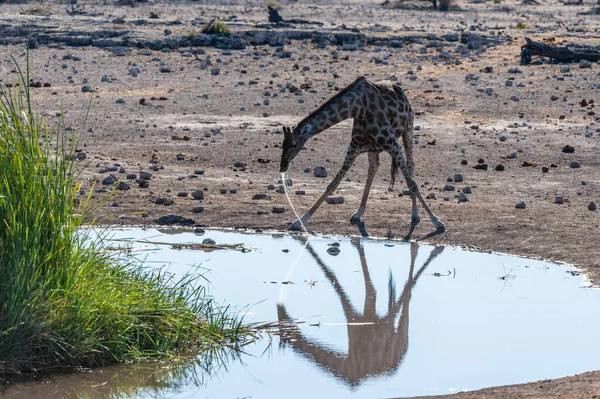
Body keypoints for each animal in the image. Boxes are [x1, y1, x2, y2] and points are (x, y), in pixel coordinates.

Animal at [278, 76, 442, 236]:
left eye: (293, 145)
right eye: (282, 145)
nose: (282, 167)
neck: (357, 108)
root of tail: (401, 92)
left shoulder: (391, 143)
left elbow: (412, 183)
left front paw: (437, 221)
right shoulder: (355, 146)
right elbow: (333, 184)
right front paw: (299, 221)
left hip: (407, 129)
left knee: (410, 163)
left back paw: (415, 214)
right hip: (374, 148)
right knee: (373, 167)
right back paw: (358, 213)